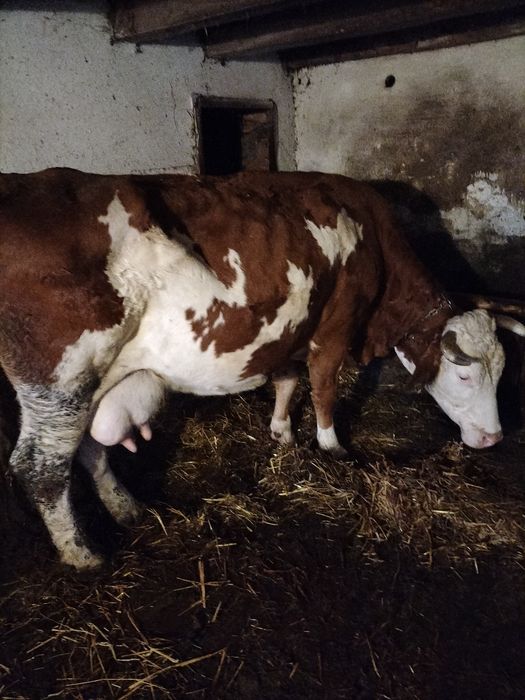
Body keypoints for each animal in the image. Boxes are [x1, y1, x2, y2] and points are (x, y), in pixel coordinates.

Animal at [0, 168, 523, 569]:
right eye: (464, 376)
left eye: (503, 374)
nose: (494, 438)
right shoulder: (336, 322)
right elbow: (324, 385)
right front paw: (332, 447)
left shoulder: (293, 325)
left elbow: (288, 380)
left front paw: (282, 433)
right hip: (60, 379)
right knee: (39, 466)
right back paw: (83, 554)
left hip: (92, 381)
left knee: (88, 448)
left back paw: (125, 508)